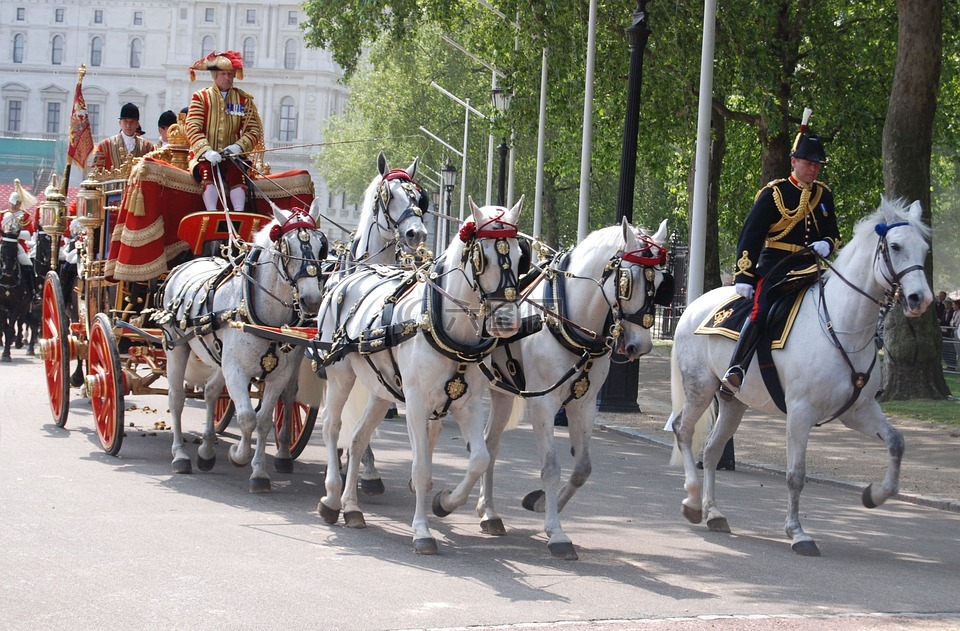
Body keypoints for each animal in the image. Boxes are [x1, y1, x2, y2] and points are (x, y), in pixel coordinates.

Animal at [159, 204, 332, 494]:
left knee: (210, 392)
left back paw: (206, 451)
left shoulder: (278, 375)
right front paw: (239, 456)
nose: (311, 301)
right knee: (176, 399)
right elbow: (247, 418)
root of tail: (185, 264)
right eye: (287, 247)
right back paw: (180, 455)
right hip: (176, 346)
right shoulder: (236, 370)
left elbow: (262, 420)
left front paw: (259, 472)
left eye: (322, 247)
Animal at [314, 196, 524, 552]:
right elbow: (421, 465)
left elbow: (479, 459)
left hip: (380, 390)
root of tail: (347, 276)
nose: (507, 322)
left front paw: (445, 503)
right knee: (332, 426)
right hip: (340, 375)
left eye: (522, 256)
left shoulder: (467, 403)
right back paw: (330, 498)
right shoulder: (415, 402)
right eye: (482, 257)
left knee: (357, 438)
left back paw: (352, 507)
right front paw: (422, 531)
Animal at [476, 220, 672, 560]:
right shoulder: (542, 404)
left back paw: (489, 512)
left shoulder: (584, 403)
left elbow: (582, 468)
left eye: (660, 282)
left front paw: (541, 503)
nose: (641, 346)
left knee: (490, 444)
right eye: (627, 281)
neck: (565, 317)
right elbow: (551, 467)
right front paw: (556, 533)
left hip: (502, 393)